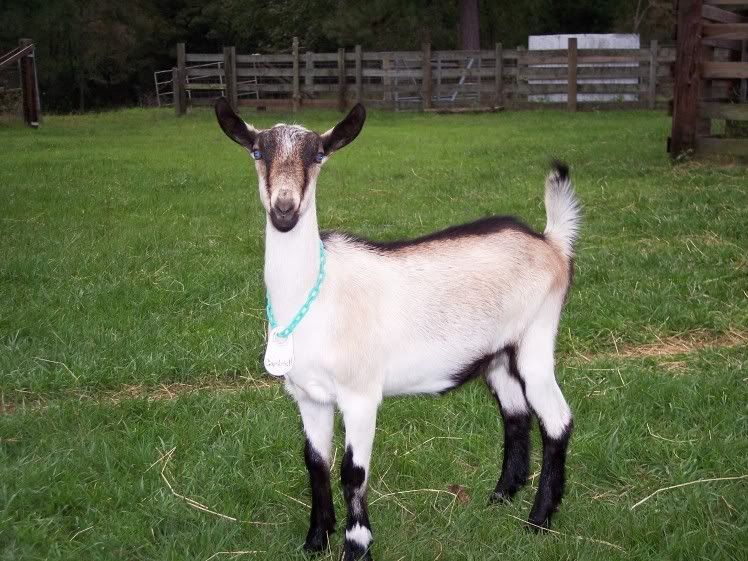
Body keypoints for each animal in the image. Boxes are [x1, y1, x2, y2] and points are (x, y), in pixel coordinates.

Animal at [214, 98, 580, 561]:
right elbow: (315, 462)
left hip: (536, 339)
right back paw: (500, 497)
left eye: (319, 155)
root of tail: (551, 243)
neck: (318, 296)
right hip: (498, 354)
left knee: (556, 419)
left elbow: (352, 472)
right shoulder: (307, 396)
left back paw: (538, 520)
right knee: (515, 414)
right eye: (257, 151)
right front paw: (315, 540)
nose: (284, 209)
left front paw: (357, 547)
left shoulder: (360, 395)